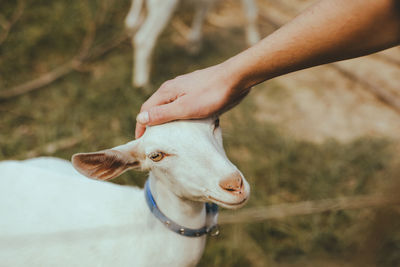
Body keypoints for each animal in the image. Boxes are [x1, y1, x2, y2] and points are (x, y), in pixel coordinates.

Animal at [126, 0, 260, 87]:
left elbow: (203, 9)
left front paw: (193, 44)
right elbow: (251, 13)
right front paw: (254, 39)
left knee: (132, 23)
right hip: (163, 7)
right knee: (143, 38)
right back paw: (142, 83)